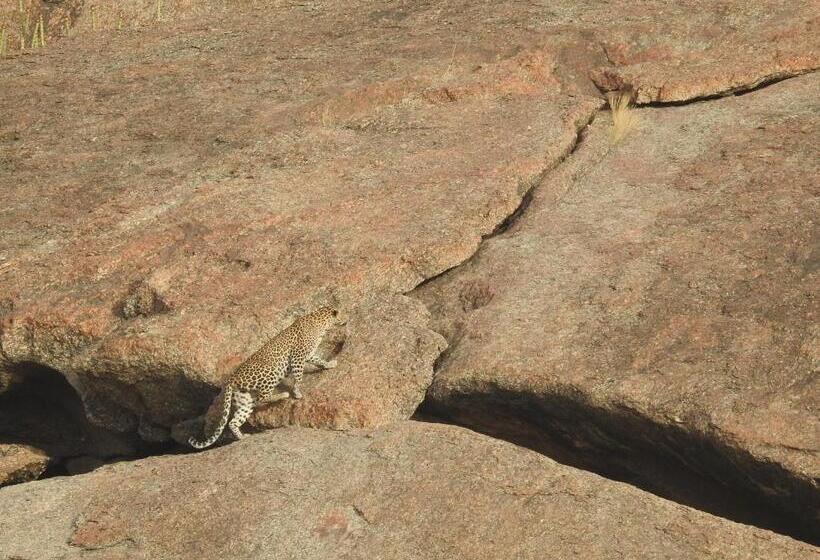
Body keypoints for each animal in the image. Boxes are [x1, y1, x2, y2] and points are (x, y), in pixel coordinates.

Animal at [188, 306, 339, 449]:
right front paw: (297, 392)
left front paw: (329, 364)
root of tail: (231, 379)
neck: (320, 322)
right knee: (262, 398)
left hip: (245, 400)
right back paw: (283, 395)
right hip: (270, 373)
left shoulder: (308, 355)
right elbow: (298, 376)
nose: (343, 319)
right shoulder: (297, 357)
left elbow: (318, 360)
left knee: (233, 422)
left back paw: (242, 437)